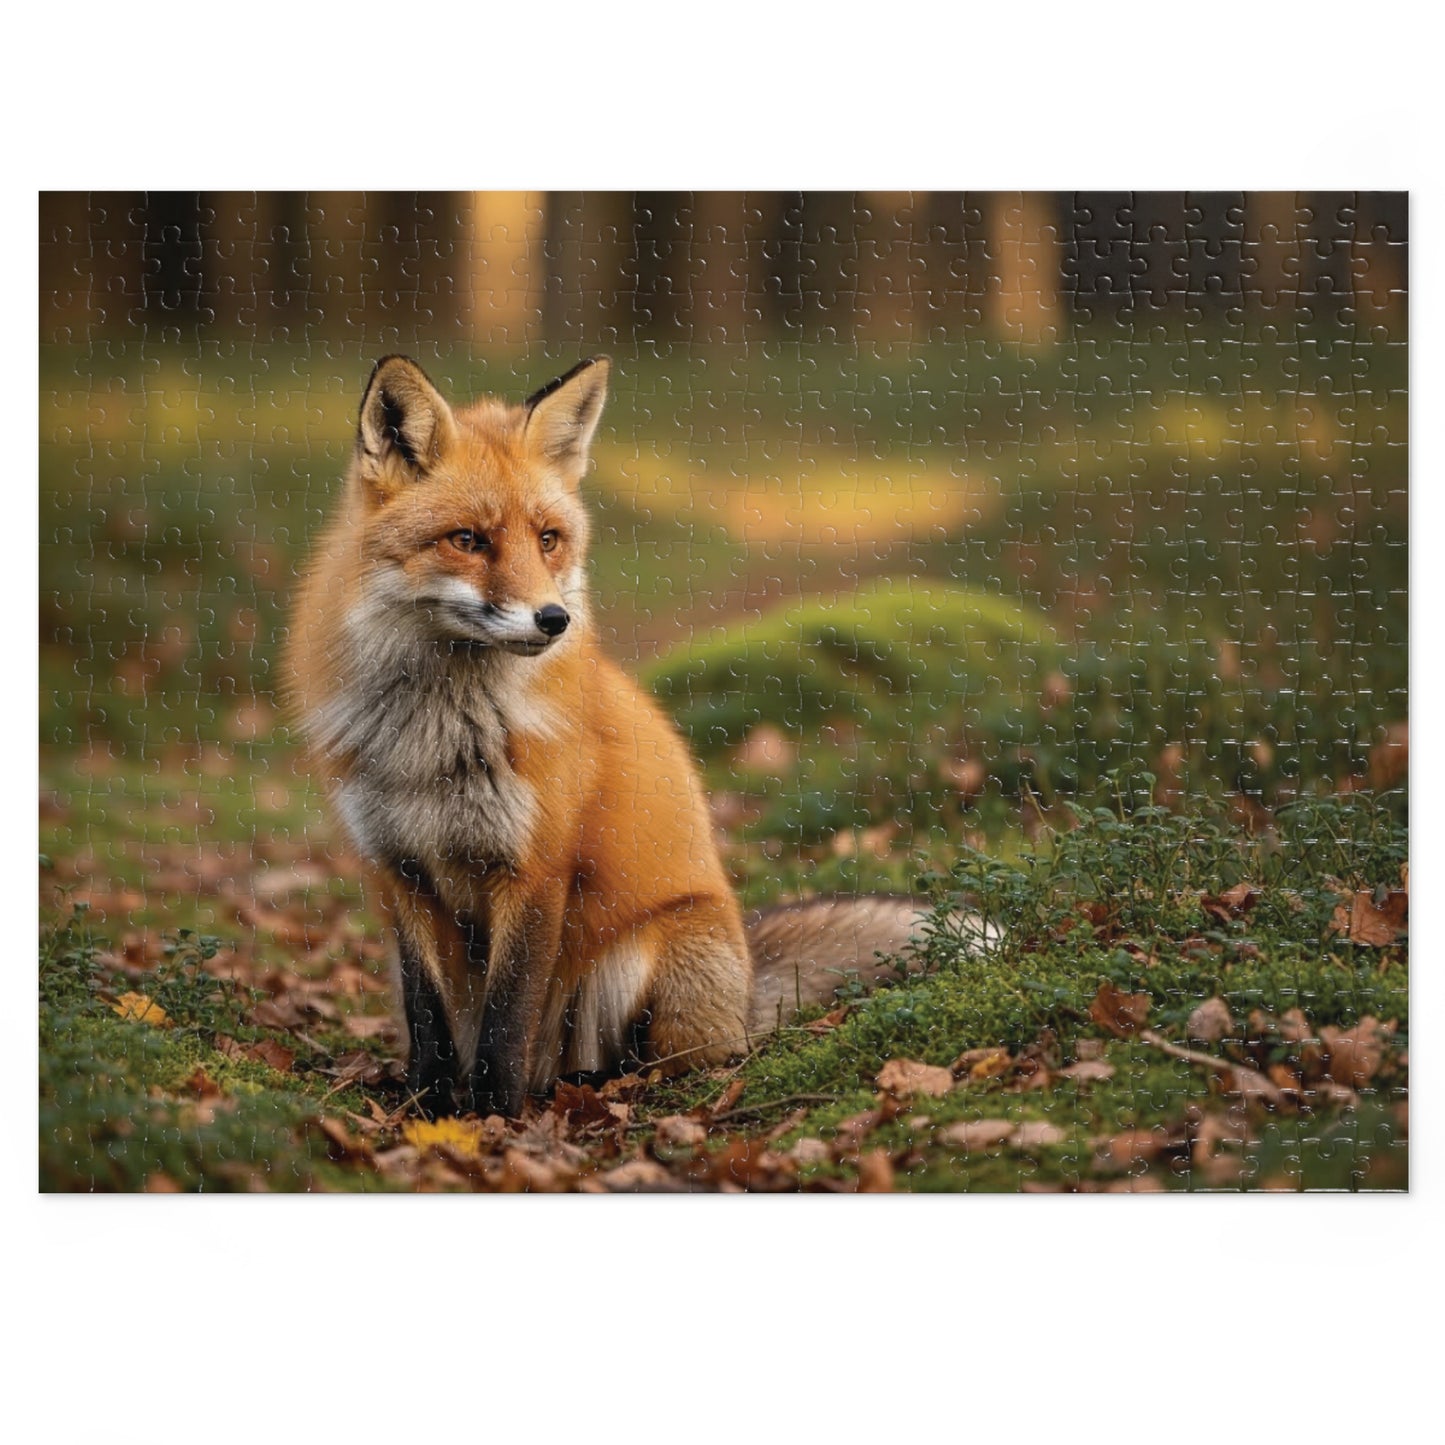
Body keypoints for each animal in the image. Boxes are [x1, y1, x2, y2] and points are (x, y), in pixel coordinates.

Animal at [283, 355, 934, 1119]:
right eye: (467, 540)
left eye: (547, 538)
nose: (554, 619)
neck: (435, 734)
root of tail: (747, 982)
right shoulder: (398, 872)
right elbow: (429, 1018)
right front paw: (426, 1109)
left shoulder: (536, 867)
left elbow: (506, 1019)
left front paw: (492, 1115)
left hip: (638, 957)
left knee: (677, 1058)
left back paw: (594, 1085)